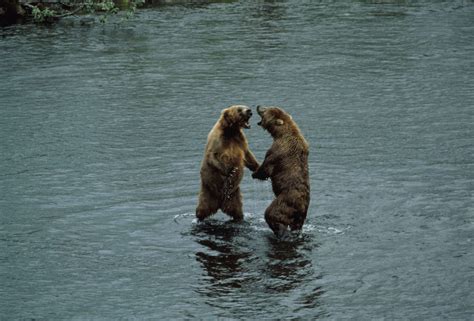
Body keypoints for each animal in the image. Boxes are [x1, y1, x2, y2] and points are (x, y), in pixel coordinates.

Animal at [252, 105, 312, 238]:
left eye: (265, 110)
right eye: (267, 106)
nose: (258, 106)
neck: (281, 134)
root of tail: (300, 206)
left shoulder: (278, 150)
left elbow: (267, 167)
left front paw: (255, 173)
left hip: (284, 202)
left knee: (272, 214)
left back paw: (280, 231)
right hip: (301, 213)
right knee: (297, 224)